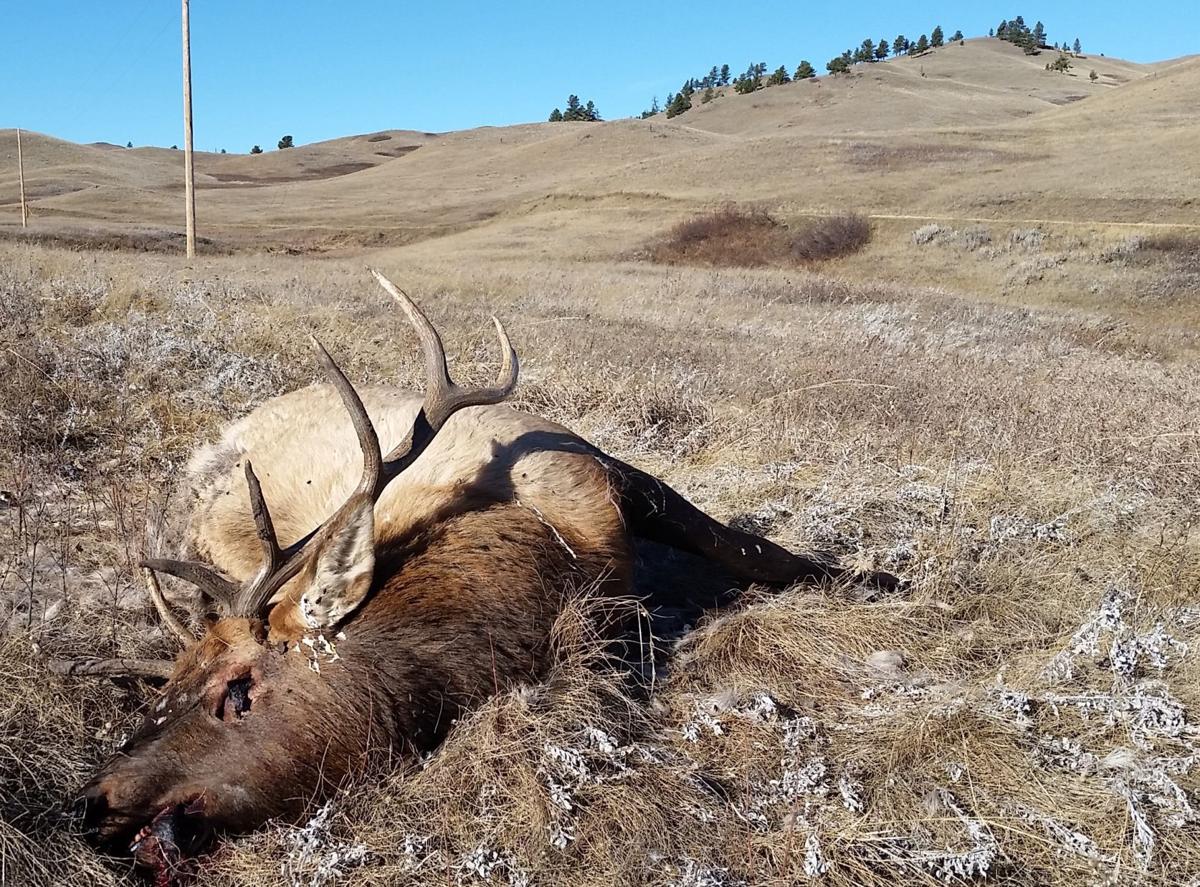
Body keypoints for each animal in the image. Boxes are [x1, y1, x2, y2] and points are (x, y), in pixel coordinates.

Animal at [64, 270, 893, 881]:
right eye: (160, 693)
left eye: (238, 690)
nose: (92, 801)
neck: (541, 564)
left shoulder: (608, 473)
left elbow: (751, 547)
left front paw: (876, 578)